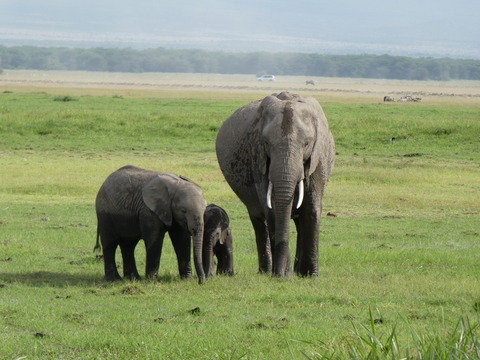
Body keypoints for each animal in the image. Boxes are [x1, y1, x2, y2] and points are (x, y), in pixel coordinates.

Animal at [216, 91, 336, 278]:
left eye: (307, 143)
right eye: (266, 143)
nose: (279, 276)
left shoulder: (319, 158)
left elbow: (312, 209)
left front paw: (311, 276)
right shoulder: (257, 156)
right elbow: (272, 211)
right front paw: (284, 276)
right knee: (259, 220)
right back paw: (266, 272)